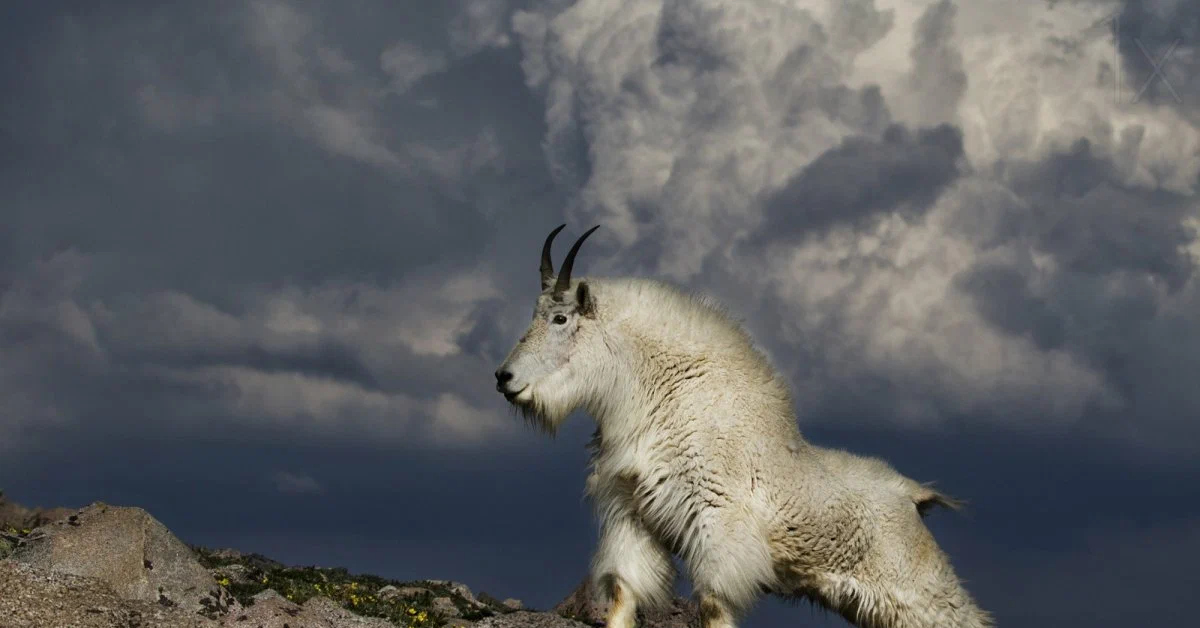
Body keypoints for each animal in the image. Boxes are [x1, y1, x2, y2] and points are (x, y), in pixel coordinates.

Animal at [492, 225, 988, 628]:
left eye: (560, 318)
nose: (504, 378)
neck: (666, 393)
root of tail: (913, 496)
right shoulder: (633, 517)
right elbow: (622, 595)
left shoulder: (719, 532)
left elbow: (713, 607)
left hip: (914, 589)